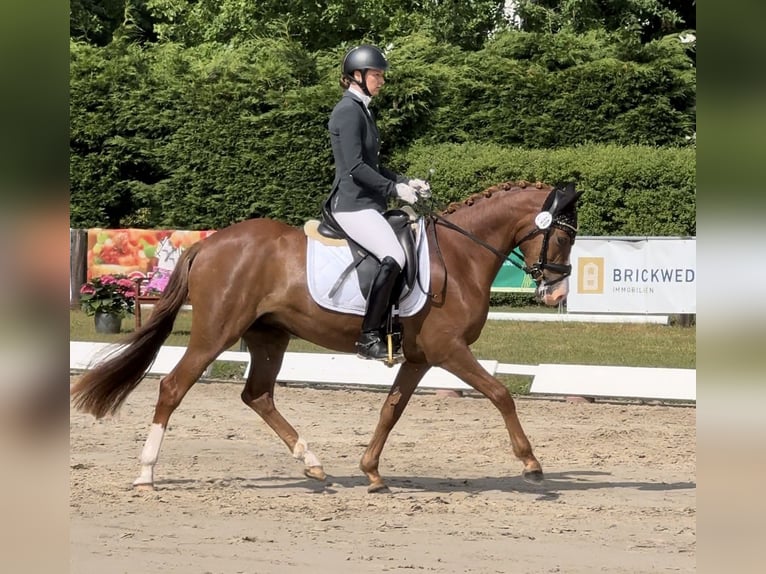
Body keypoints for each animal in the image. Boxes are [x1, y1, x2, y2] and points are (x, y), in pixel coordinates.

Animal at [70, 181, 584, 496]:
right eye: (562, 237)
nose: (556, 294)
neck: (459, 257)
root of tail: (209, 242)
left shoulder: (420, 357)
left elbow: (391, 409)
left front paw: (371, 472)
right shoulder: (449, 350)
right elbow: (500, 394)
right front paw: (531, 465)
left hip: (269, 336)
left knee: (258, 395)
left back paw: (311, 462)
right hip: (216, 332)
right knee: (173, 387)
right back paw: (146, 473)